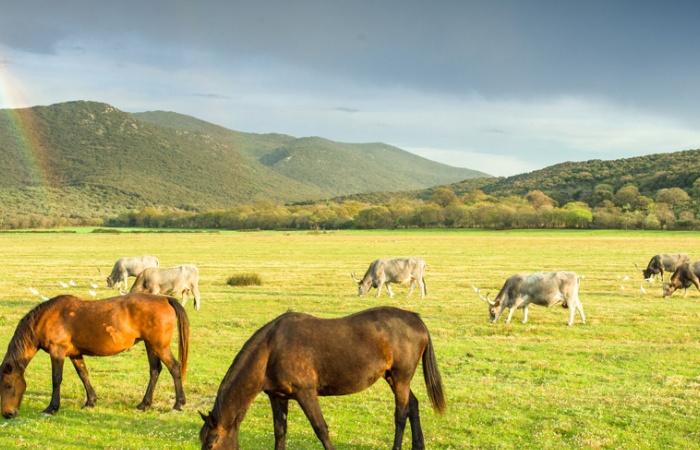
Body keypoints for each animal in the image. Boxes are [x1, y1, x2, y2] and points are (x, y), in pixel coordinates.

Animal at [0, 292, 189, 418]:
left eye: (8, 385)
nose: (8, 414)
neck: (47, 318)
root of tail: (165, 298)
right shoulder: (75, 354)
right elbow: (84, 375)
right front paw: (90, 401)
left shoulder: (57, 352)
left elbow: (56, 379)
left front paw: (51, 408)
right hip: (150, 345)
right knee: (155, 370)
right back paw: (143, 404)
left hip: (159, 346)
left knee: (174, 367)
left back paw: (178, 404)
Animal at [200, 306, 446, 450]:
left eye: (211, 444)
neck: (271, 350)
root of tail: (416, 319)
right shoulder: (278, 397)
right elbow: (280, 432)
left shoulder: (306, 394)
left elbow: (320, 429)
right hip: (394, 379)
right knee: (413, 405)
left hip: (400, 379)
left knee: (401, 414)